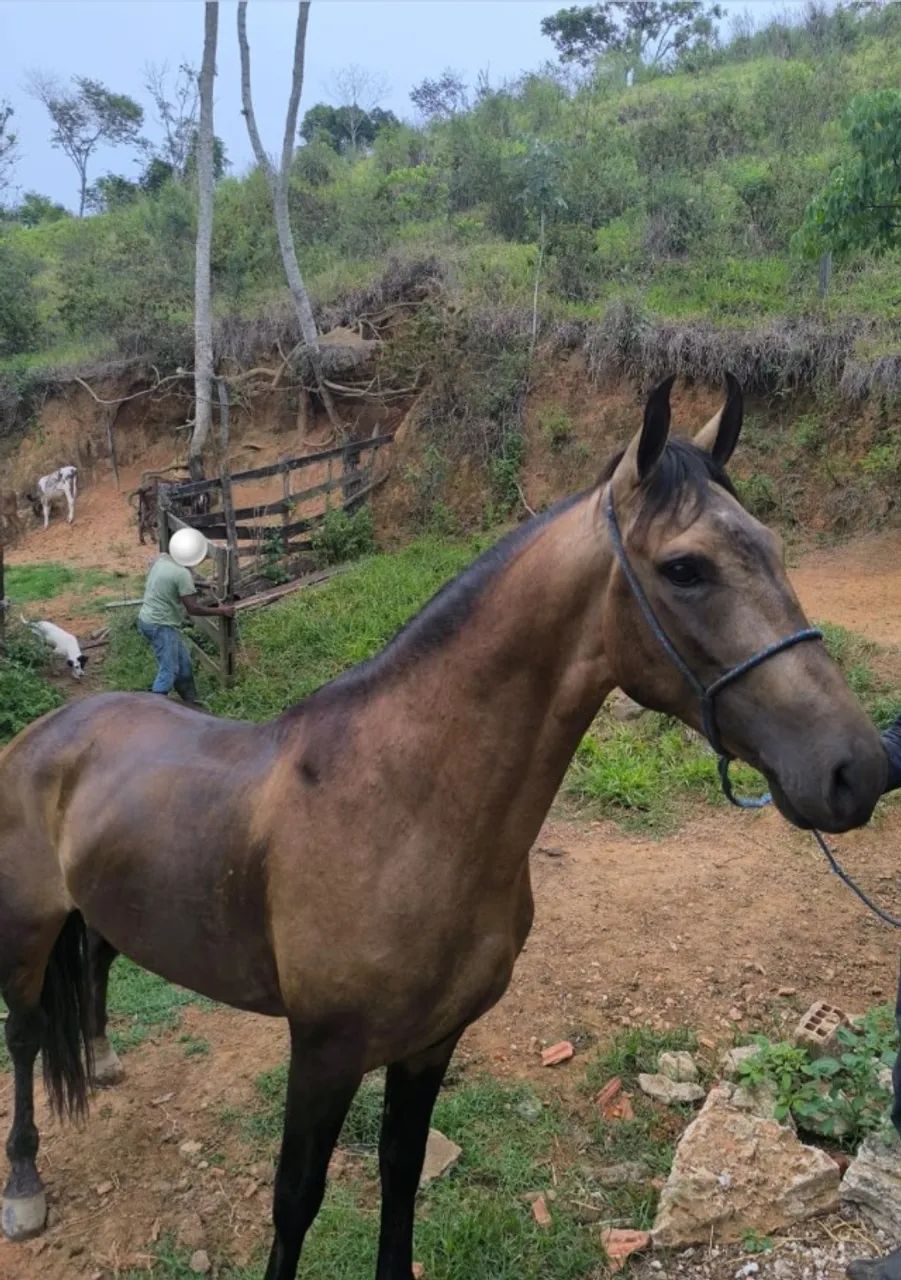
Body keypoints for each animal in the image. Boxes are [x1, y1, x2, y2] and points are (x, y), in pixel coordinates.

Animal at [0, 376, 886, 1280]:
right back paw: (25, 1186)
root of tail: (48, 733)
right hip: (27, 930)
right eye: (685, 568)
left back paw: (103, 1059)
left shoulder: (430, 1043)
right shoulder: (322, 1051)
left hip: (107, 905)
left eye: (771, 547)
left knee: (97, 959)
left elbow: (400, 1174)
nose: (858, 768)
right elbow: (295, 1202)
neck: (407, 812)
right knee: (27, 1035)